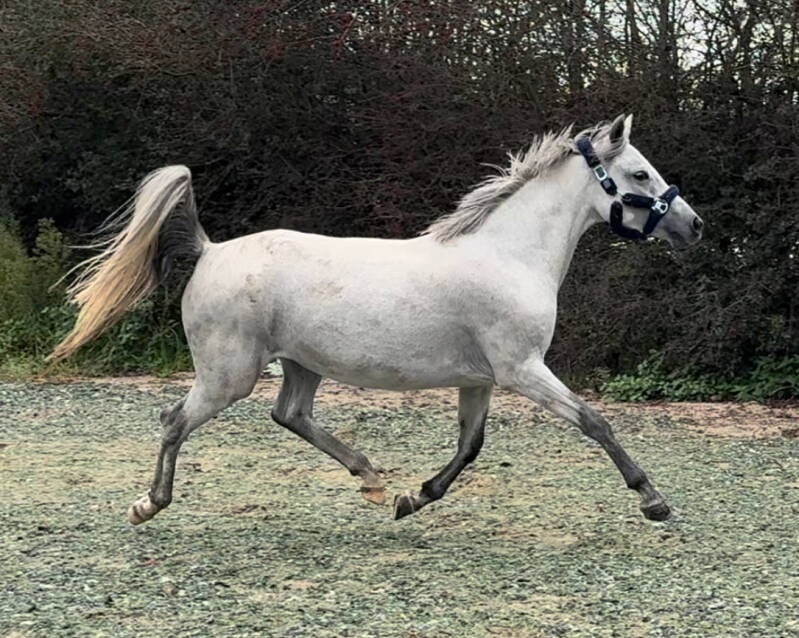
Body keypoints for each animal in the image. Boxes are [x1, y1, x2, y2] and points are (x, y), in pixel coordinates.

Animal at [49, 114, 704, 526]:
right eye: (639, 174)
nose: (693, 225)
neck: (508, 255)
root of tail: (210, 251)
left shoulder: (482, 380)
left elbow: (470, 446)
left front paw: (412, 498)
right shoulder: (522, 370)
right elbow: (596, 423)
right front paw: (654, 501)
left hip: (300, 364)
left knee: (290, 415)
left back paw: (370, 477)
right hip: (227, 375)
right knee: (175, 420)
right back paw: (149, 504)